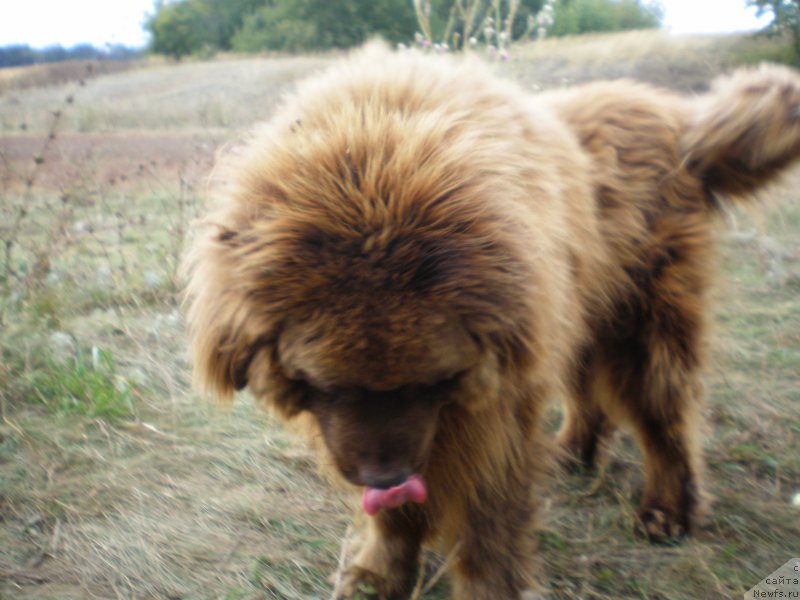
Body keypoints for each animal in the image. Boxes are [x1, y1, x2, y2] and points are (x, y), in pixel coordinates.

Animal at [184, 47, 800, 600]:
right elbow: (397, 519)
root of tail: (678, 121)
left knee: (663, 415)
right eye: (328, 386)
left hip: (639, 325)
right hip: (574, 315)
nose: (385, 480)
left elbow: (487, 519)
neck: (381, 136)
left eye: (430, 382)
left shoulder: (494, 409)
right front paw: (379, 575)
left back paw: (667, 510)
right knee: (588, 393)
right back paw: (570, 452)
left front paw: (485, 586)